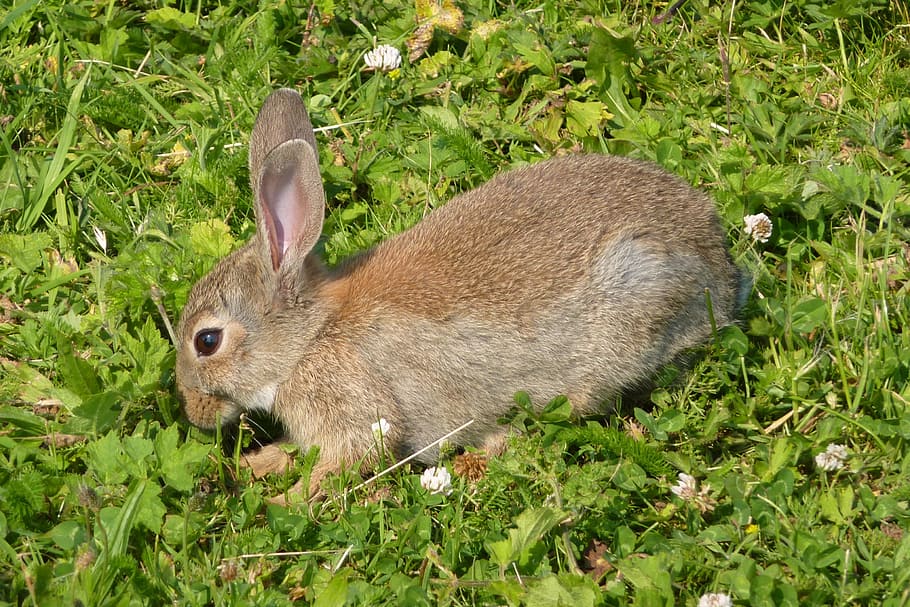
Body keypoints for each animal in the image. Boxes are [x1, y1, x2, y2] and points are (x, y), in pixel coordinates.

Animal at [175, 88, 747, 497]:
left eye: (207, 341)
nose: (194, 415)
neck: (308, 339)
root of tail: (718, 264)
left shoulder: (357, 412)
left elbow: (343, 463)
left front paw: (280, 503)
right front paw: (253, 467)